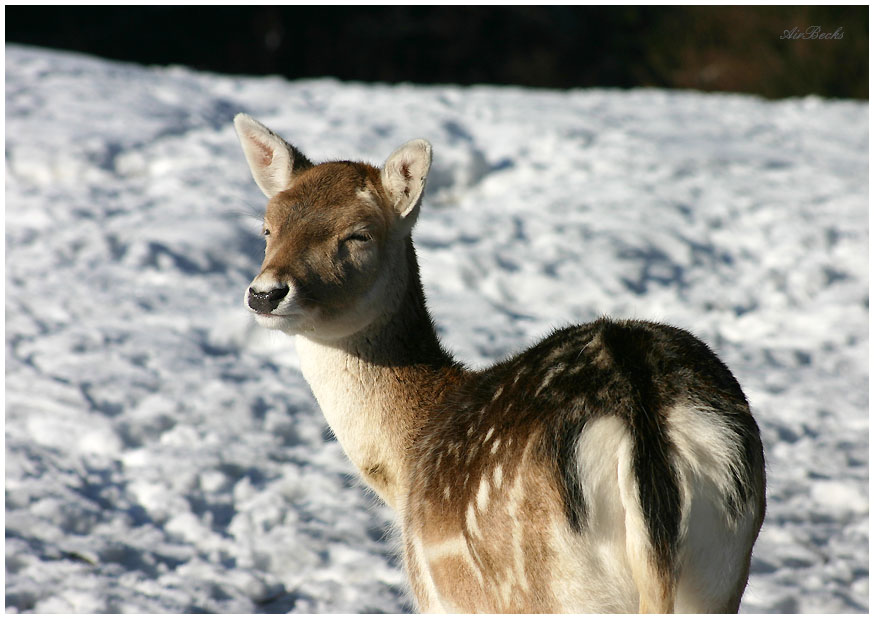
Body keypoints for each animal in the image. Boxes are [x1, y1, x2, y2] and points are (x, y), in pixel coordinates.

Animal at [230, 114, 764, 612]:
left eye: (358, 235)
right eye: (267, 227)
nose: (265, 293)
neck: (403, 461)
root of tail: (639, 411)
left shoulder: (435, 596)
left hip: (547, 588)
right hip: (723, 562)